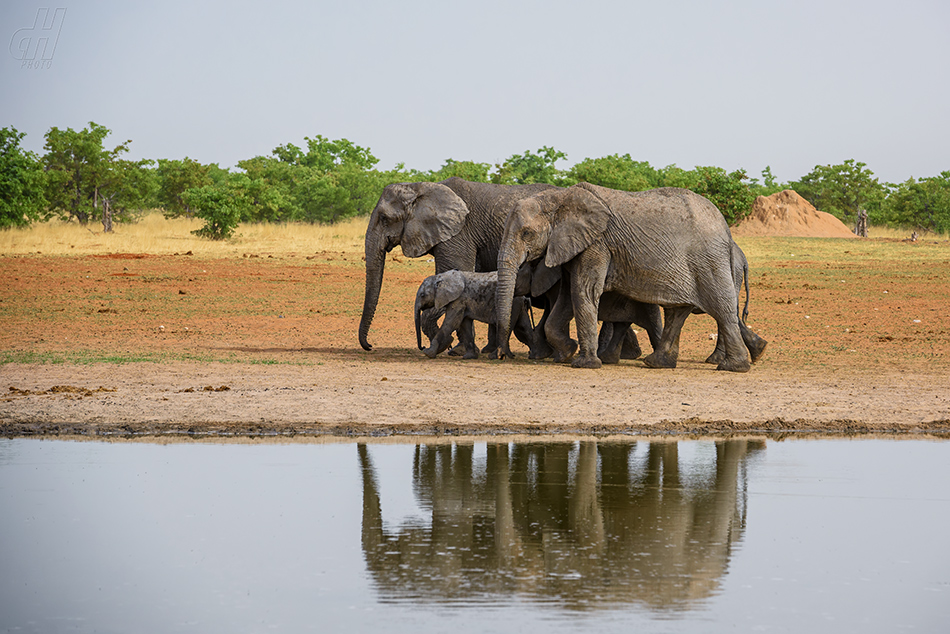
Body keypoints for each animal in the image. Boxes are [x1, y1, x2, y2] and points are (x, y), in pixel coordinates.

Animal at [412, 266, 540, 358]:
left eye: (422, 295)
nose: (422, 347)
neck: (442, 276)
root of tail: (525, 296)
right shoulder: (463, 302)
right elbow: (464, 324)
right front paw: (469, 357)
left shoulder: (459, 299)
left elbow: (451, 323)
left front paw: (428, 353)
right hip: (518, 304)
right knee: (523, 327)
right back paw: (534, 356)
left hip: (512, 304)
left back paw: (500, 356)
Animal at [494, 181, 768, 370]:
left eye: (527, 233)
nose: (501, 355)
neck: (561, 197)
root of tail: (726, 228)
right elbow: (566, 299)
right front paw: (567, 353)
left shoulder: (597, 244)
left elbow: (583, 292)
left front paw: (584, 364)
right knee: (678, 311)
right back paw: (657, 363)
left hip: (708, 261)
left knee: (721, 308)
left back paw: (733, 367)